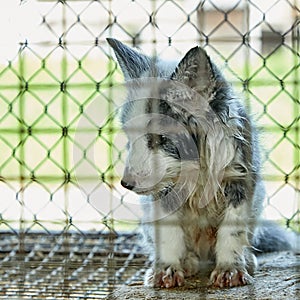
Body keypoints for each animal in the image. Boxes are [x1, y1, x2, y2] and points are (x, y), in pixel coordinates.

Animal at [106, 38, 292, 288]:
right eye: (130, 138)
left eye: (160, 138)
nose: (126, 184)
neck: (197, 168)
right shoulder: (163, 193)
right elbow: (170, 235)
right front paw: (167, 269)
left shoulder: (241, 181)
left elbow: (232, 232)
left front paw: (230, 270)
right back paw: (184, 262)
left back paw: (245, 259)